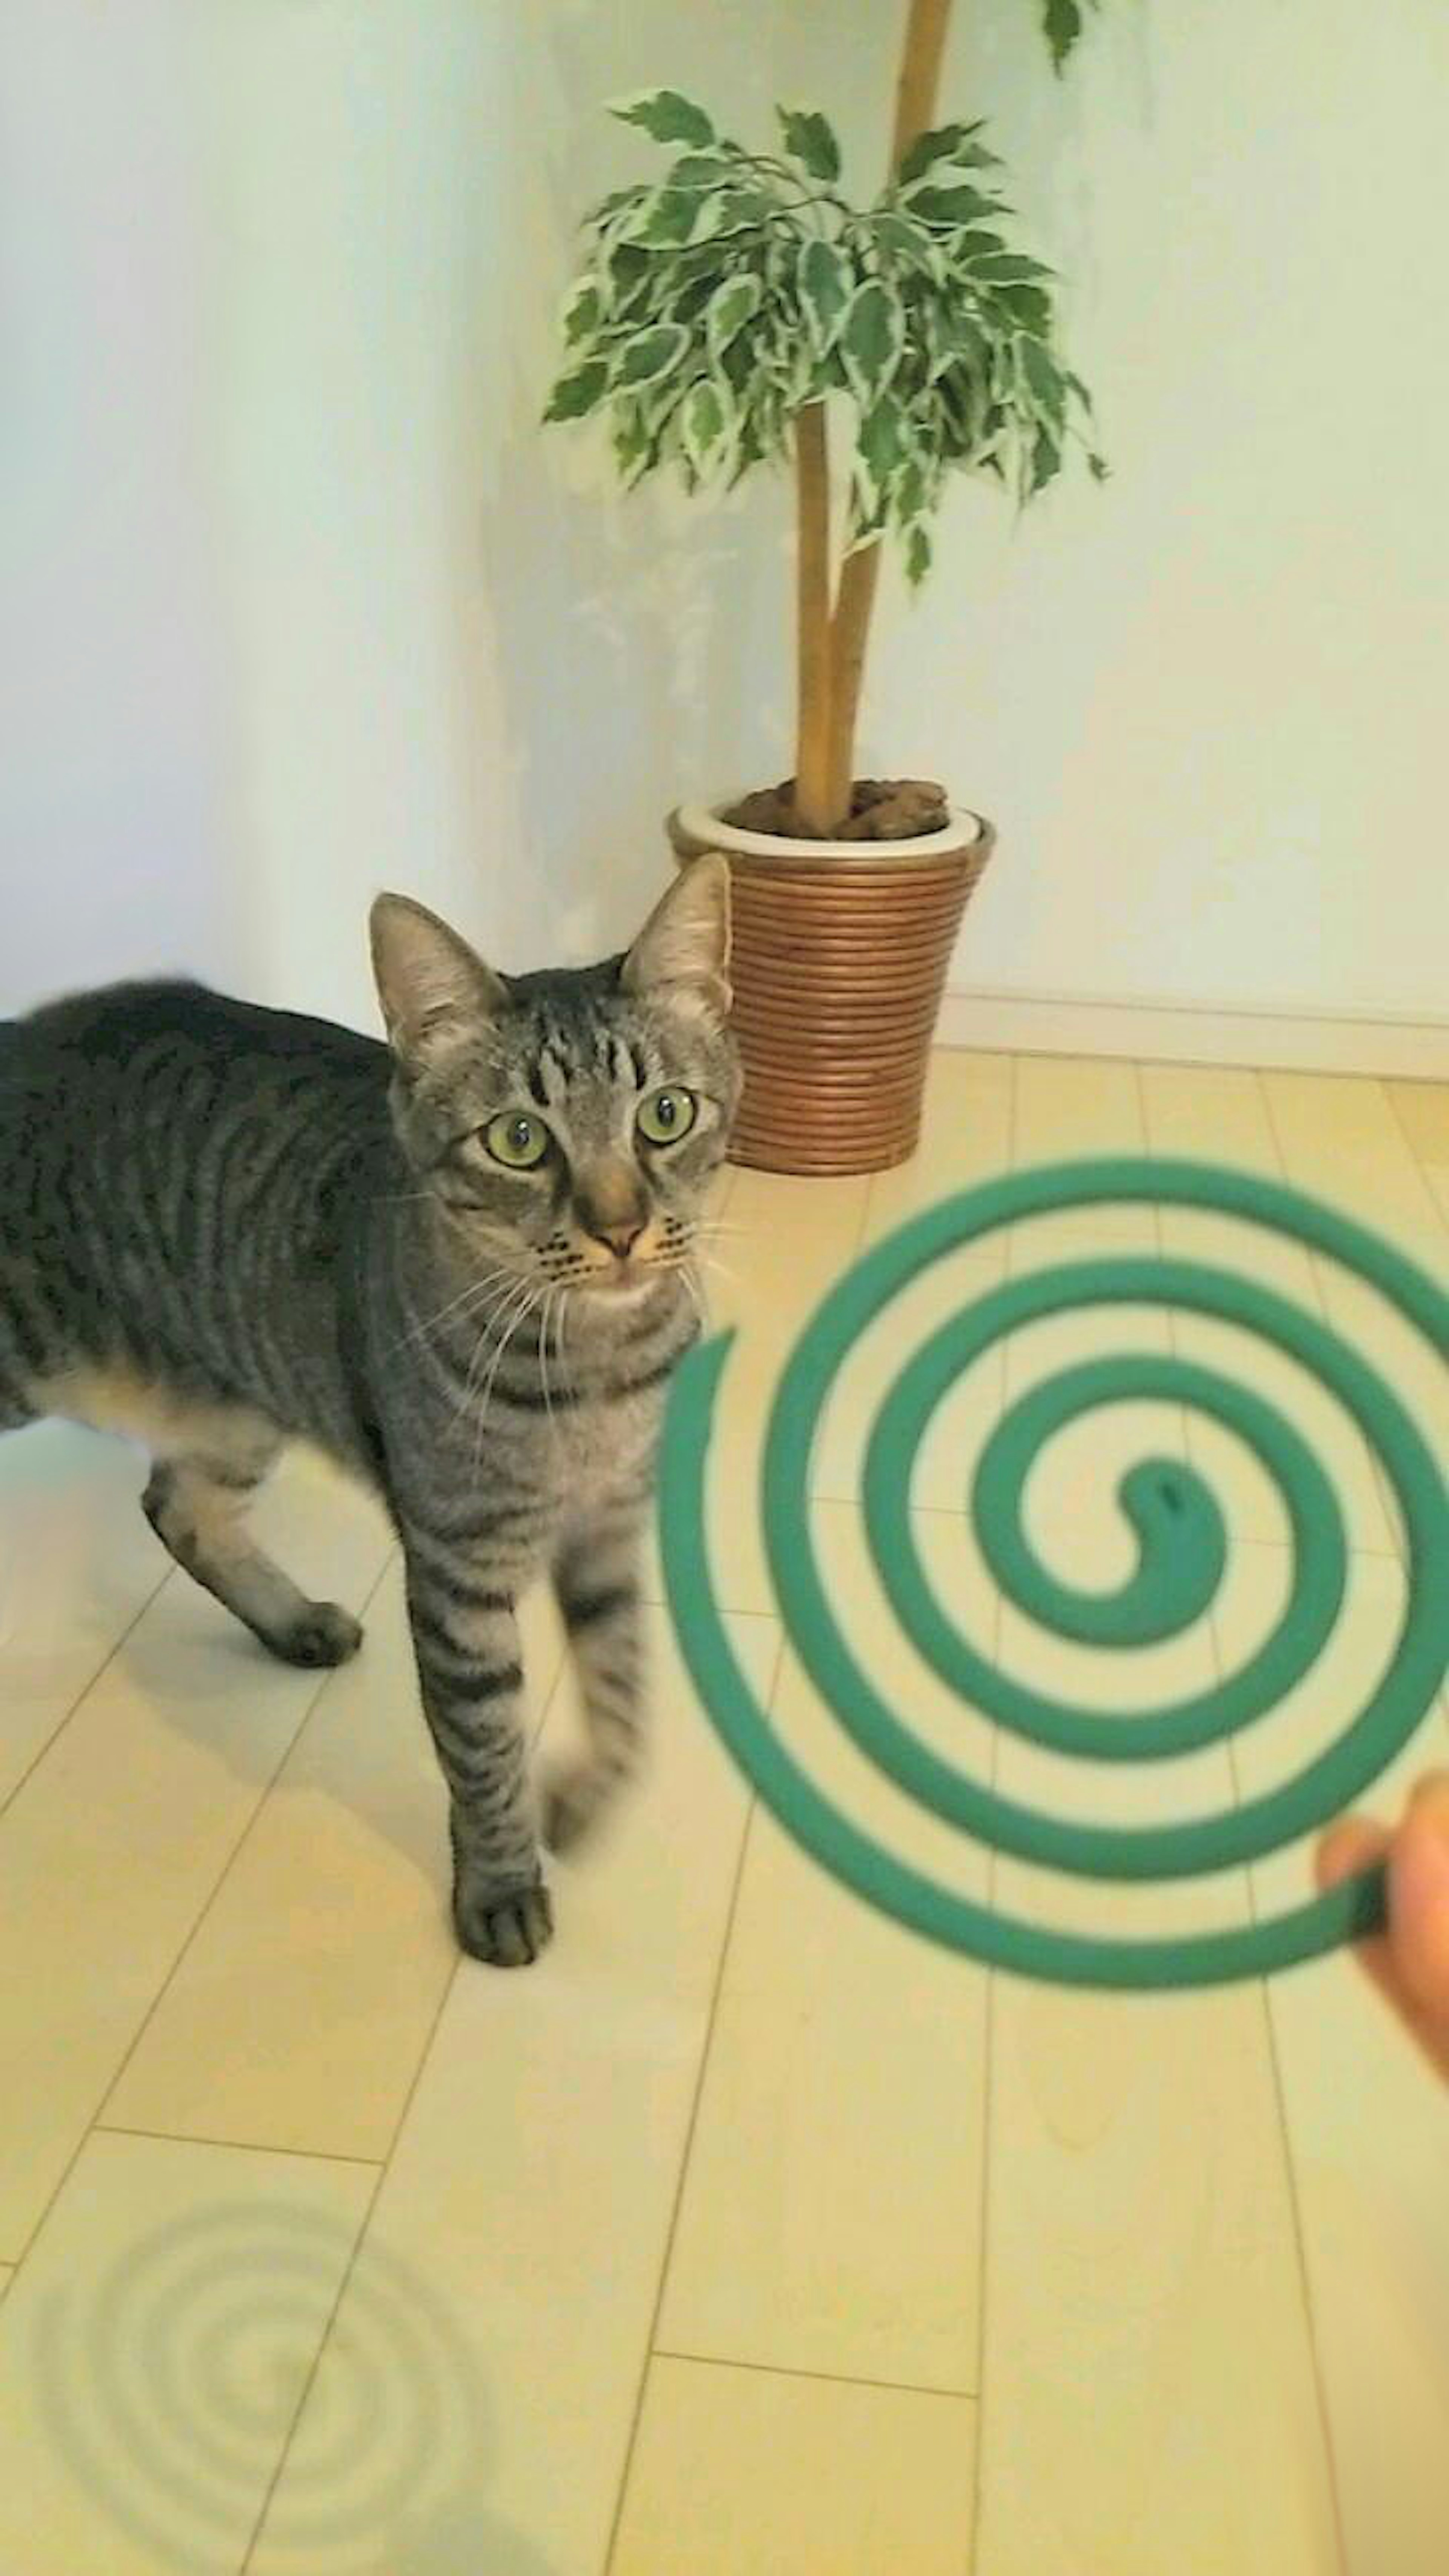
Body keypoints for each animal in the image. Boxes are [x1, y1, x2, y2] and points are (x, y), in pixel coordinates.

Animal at [0, 855, 737, 1958]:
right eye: (520, 1139)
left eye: (665, 1115)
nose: (620, 1229)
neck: (595, 1370)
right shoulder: (458, 1563)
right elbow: (483, 1744)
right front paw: (500, 1884)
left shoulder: (610, 1523)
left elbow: (623, 1685)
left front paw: (583, 1800)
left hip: (238, 1402)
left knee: (176, 1505)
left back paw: (293, 1623)